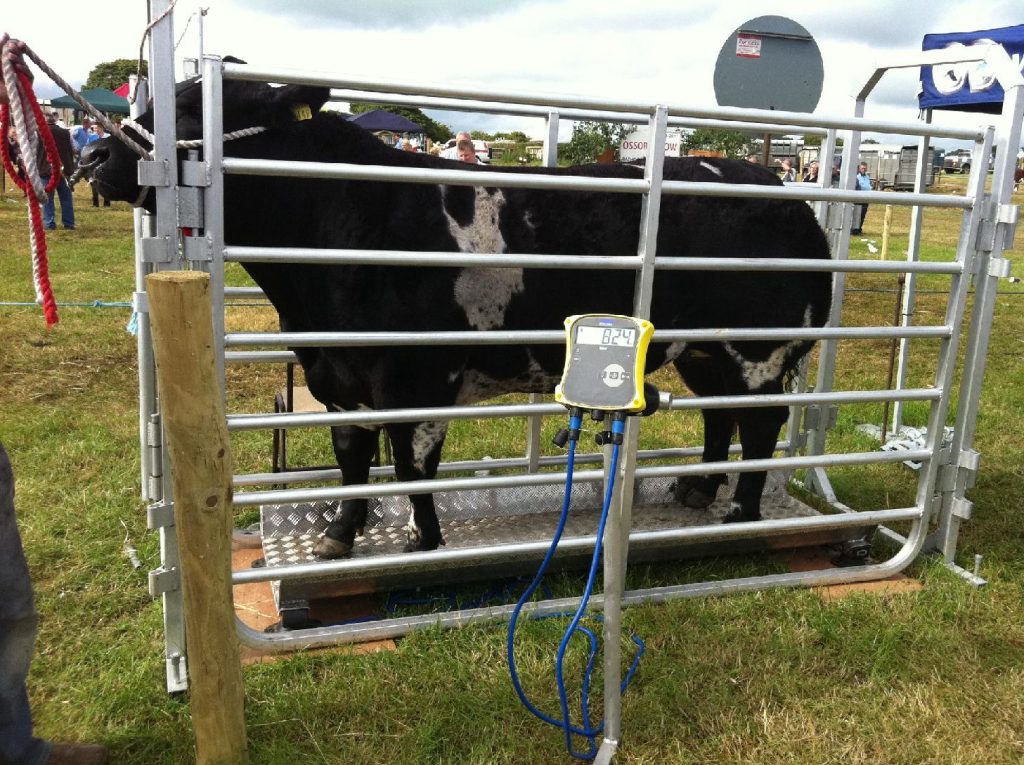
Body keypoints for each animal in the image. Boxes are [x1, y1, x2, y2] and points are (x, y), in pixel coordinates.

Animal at [79, 76, 831, 557]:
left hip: (758, 347)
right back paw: (699, 489)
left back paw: (739, 512)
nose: (93, 154)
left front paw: (424, 540)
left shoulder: (417, 374)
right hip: (703, 348)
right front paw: (341, 533)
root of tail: (776, 185)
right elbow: (351, 456)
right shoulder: (333, 372)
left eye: (191, 108)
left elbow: (412, 463)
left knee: (760, 424)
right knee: (720, 416)